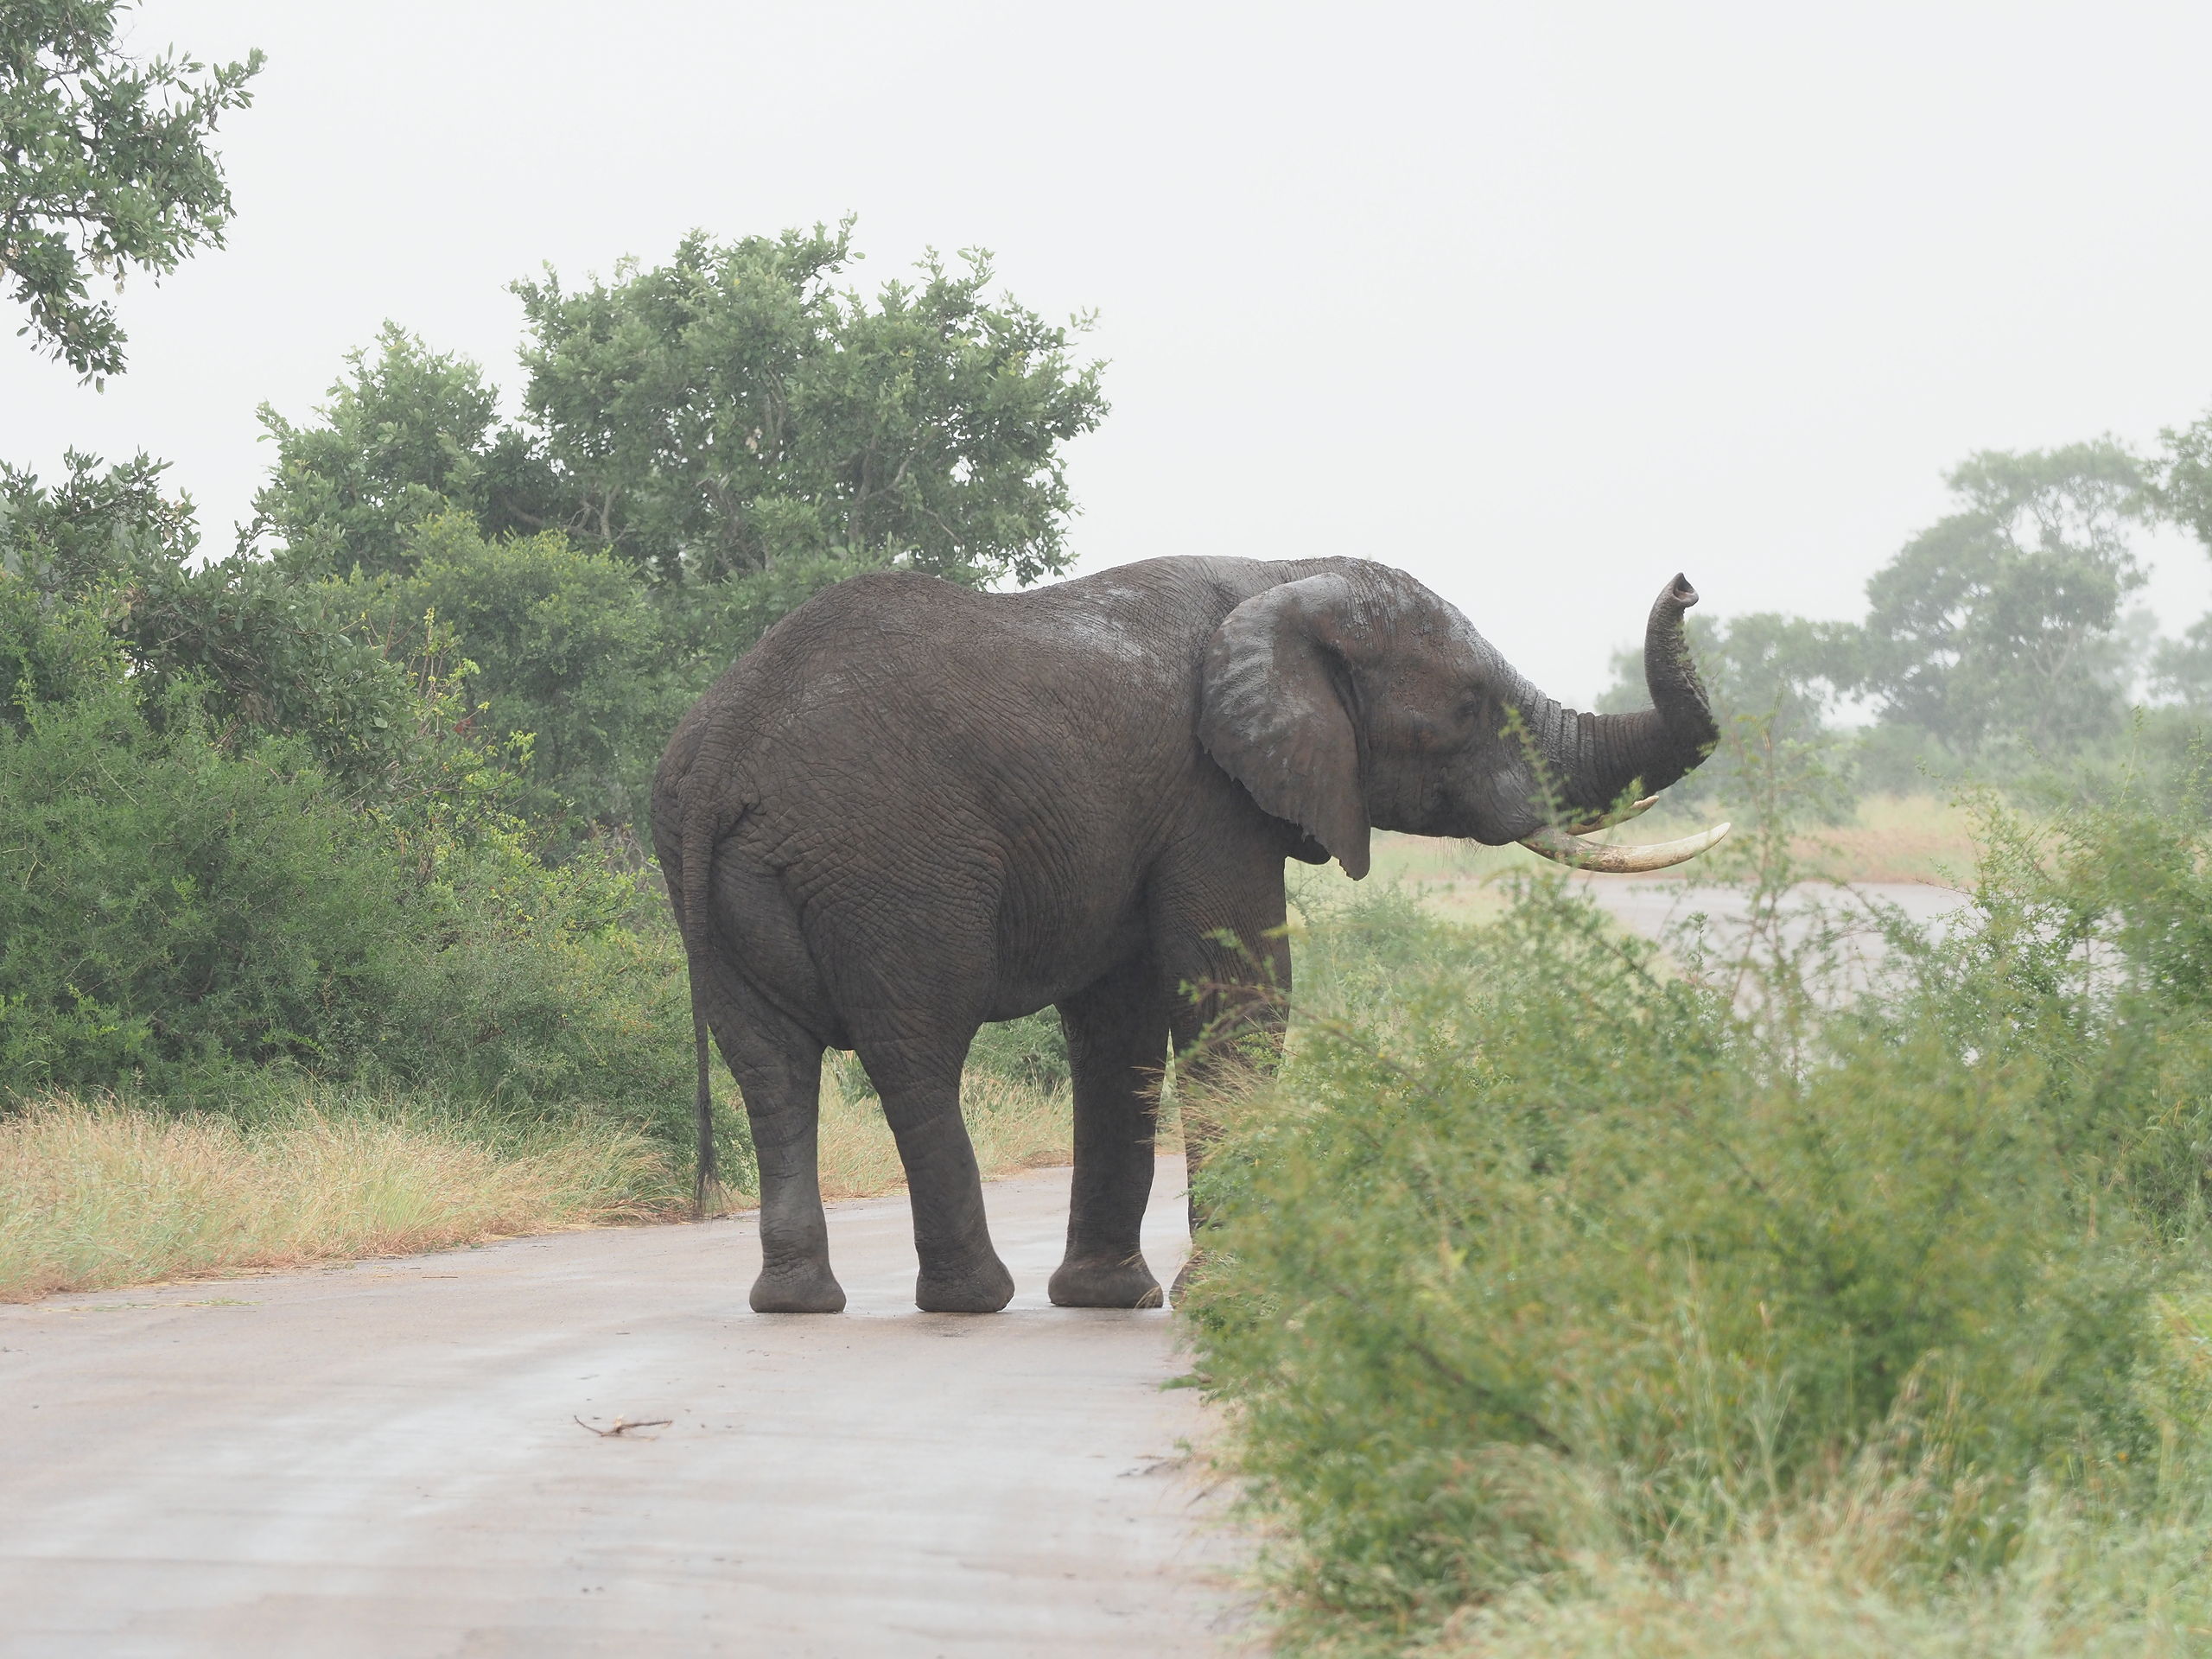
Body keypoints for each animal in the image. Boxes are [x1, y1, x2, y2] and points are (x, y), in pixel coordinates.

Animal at [652, 555, 1724, 1315]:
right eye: (1466, 708)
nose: (1686, 583)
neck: (1281, 577)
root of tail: (723, 754)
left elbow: (1120, 1029)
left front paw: (1111, 1299)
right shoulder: (1210, 796)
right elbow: (1234, 997)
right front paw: (1231, 1295)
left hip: (714, 881)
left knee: (769, 1066)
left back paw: (796, 1304)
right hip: (894, 864)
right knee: (915, 1050)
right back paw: (973, 1300)